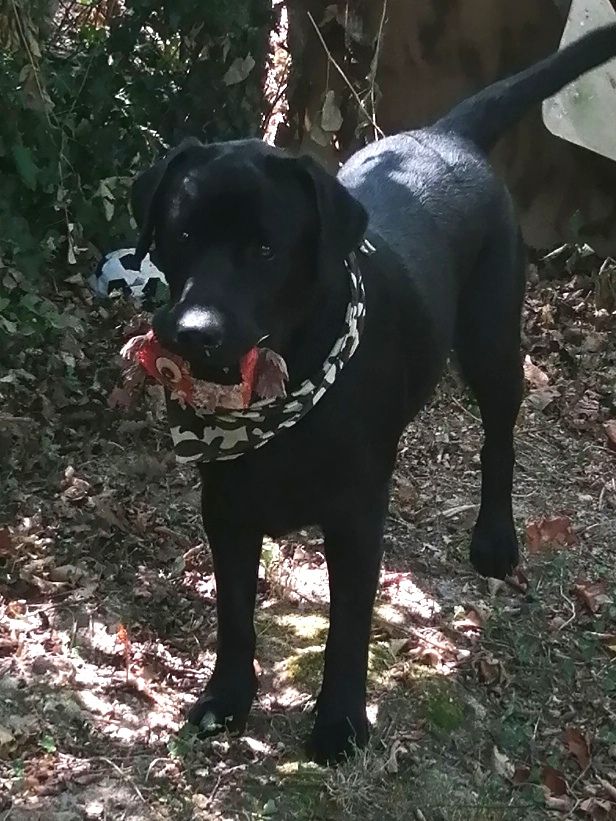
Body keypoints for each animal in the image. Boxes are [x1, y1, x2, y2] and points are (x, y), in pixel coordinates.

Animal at [130, 27, 616, 768]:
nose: (193, 332)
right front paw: (228, 698)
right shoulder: (227, 507)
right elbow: (235, 613)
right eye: (180, 235)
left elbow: (348, 627)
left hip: (492, 343)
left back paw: (495, 539)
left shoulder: (355, 517)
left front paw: (339, 724)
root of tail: (446, 134)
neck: (292, 385)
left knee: (499, 439)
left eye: (264, 249)